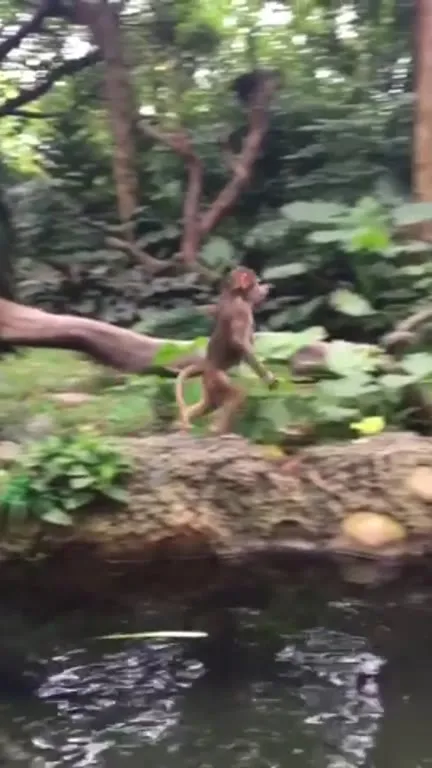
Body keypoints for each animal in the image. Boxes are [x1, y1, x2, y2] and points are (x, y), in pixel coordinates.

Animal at [175, 267, 277, 435]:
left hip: (209, 386)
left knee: (209, 405)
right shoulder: (241, 311)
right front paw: (268, 377)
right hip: (216, 379)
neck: (234, 295)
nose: (266, 288)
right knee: (235, 394)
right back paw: (217, 429)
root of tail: (207, 367)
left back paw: (186, 421)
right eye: (256, 283)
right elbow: (240, 343)